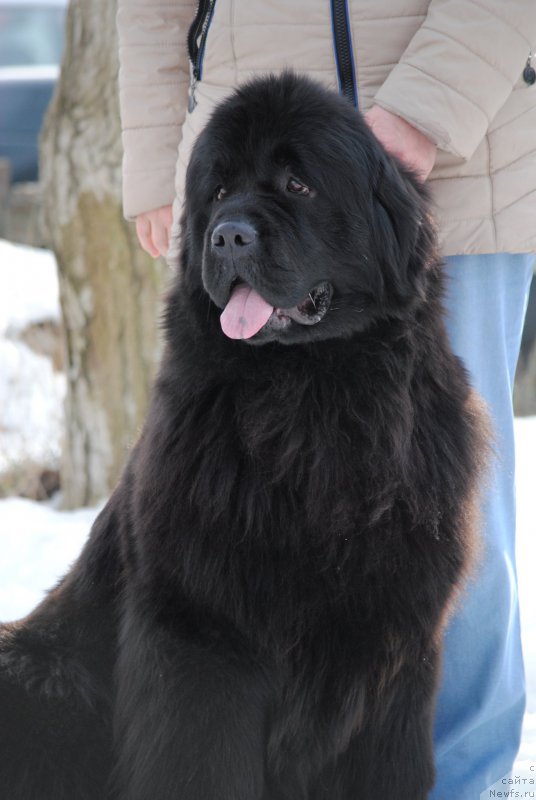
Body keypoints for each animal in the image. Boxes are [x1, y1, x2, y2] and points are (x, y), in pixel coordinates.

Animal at [0, 75, 488, 800]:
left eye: (297, 184)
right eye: (219, 189)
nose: (228, 237)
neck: (308, 404)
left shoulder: (398, 651)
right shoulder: (203, 640)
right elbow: (203, 766)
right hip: (38, 676)